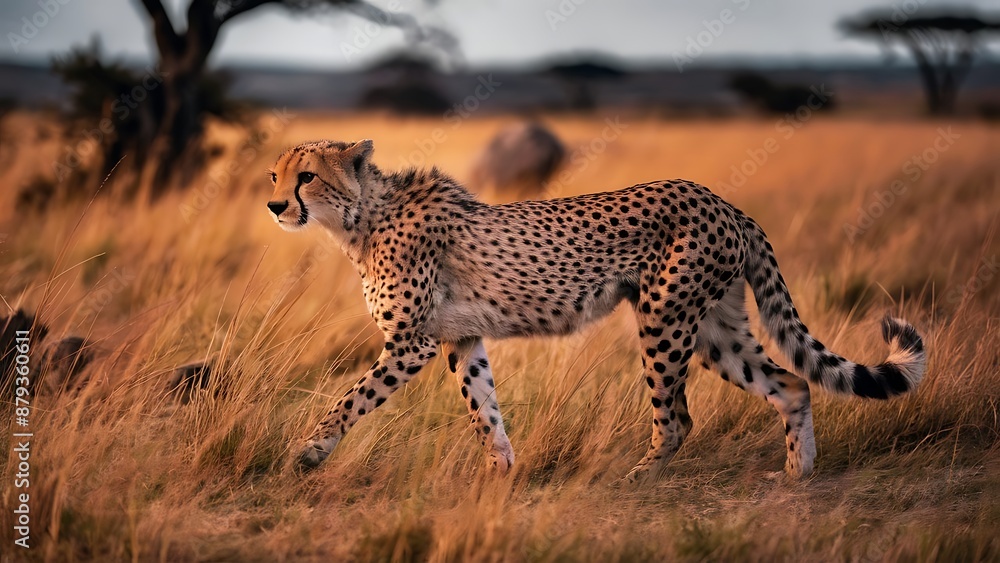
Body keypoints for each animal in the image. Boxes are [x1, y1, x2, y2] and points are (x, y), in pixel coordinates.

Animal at [266, 139, 926, 481]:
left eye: (307, 176)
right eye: (274, 175)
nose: (275, 206)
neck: (361, 220)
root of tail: (721, 199)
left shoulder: (413, 342)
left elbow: (350, 400)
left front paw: (309, 452)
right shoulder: (460, 339)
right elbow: (484, 410)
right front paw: (502, 471)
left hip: (664, 319)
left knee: (678, 418)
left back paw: (641, 474)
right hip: (714, 328)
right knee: (792, 384)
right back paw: (798, 474)